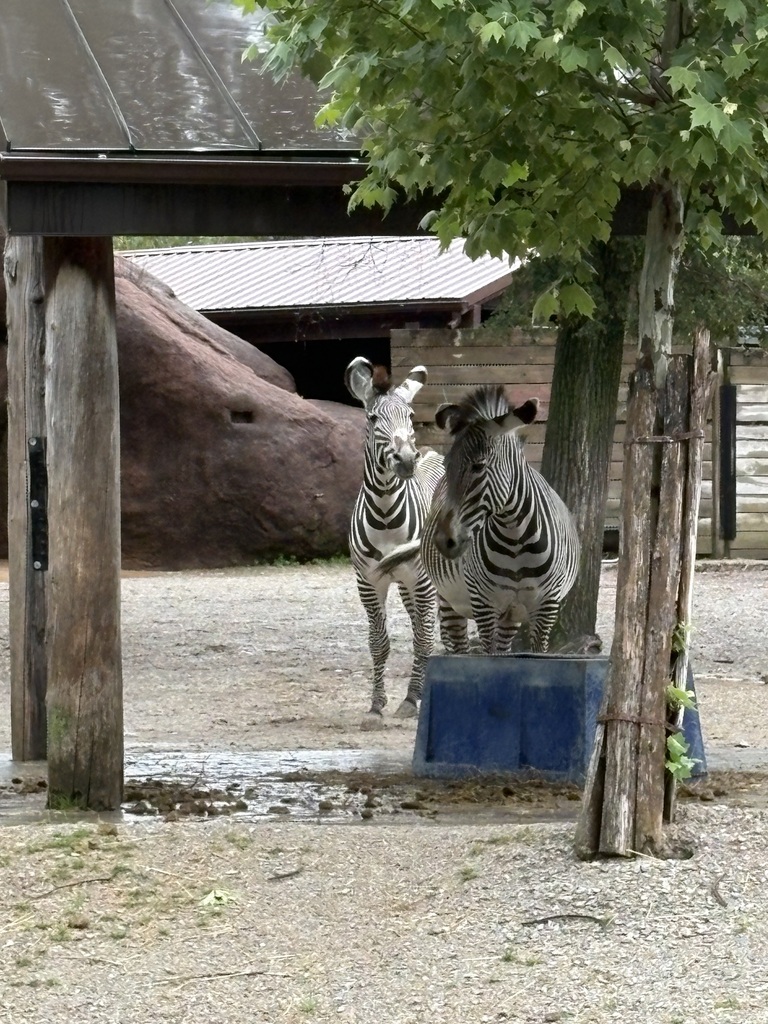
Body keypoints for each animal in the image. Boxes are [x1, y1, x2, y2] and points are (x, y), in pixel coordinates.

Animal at [345, 356, 444, 724]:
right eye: (373, 419)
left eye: (411, 417)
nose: (405, 461)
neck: (386, 516)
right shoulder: (368, 581)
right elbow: (379, 642)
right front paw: (376, 705)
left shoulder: (424, 580)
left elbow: (424, 639)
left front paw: (411, 700)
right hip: (404, 583)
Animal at [380, 384, 579, 655]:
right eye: (447, 465)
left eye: (479, 466)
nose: (443, 541)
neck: (515, 540)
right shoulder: (484, 605)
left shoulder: (546, 608)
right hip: (449, 601)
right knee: (457, 647)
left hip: (511, 616)